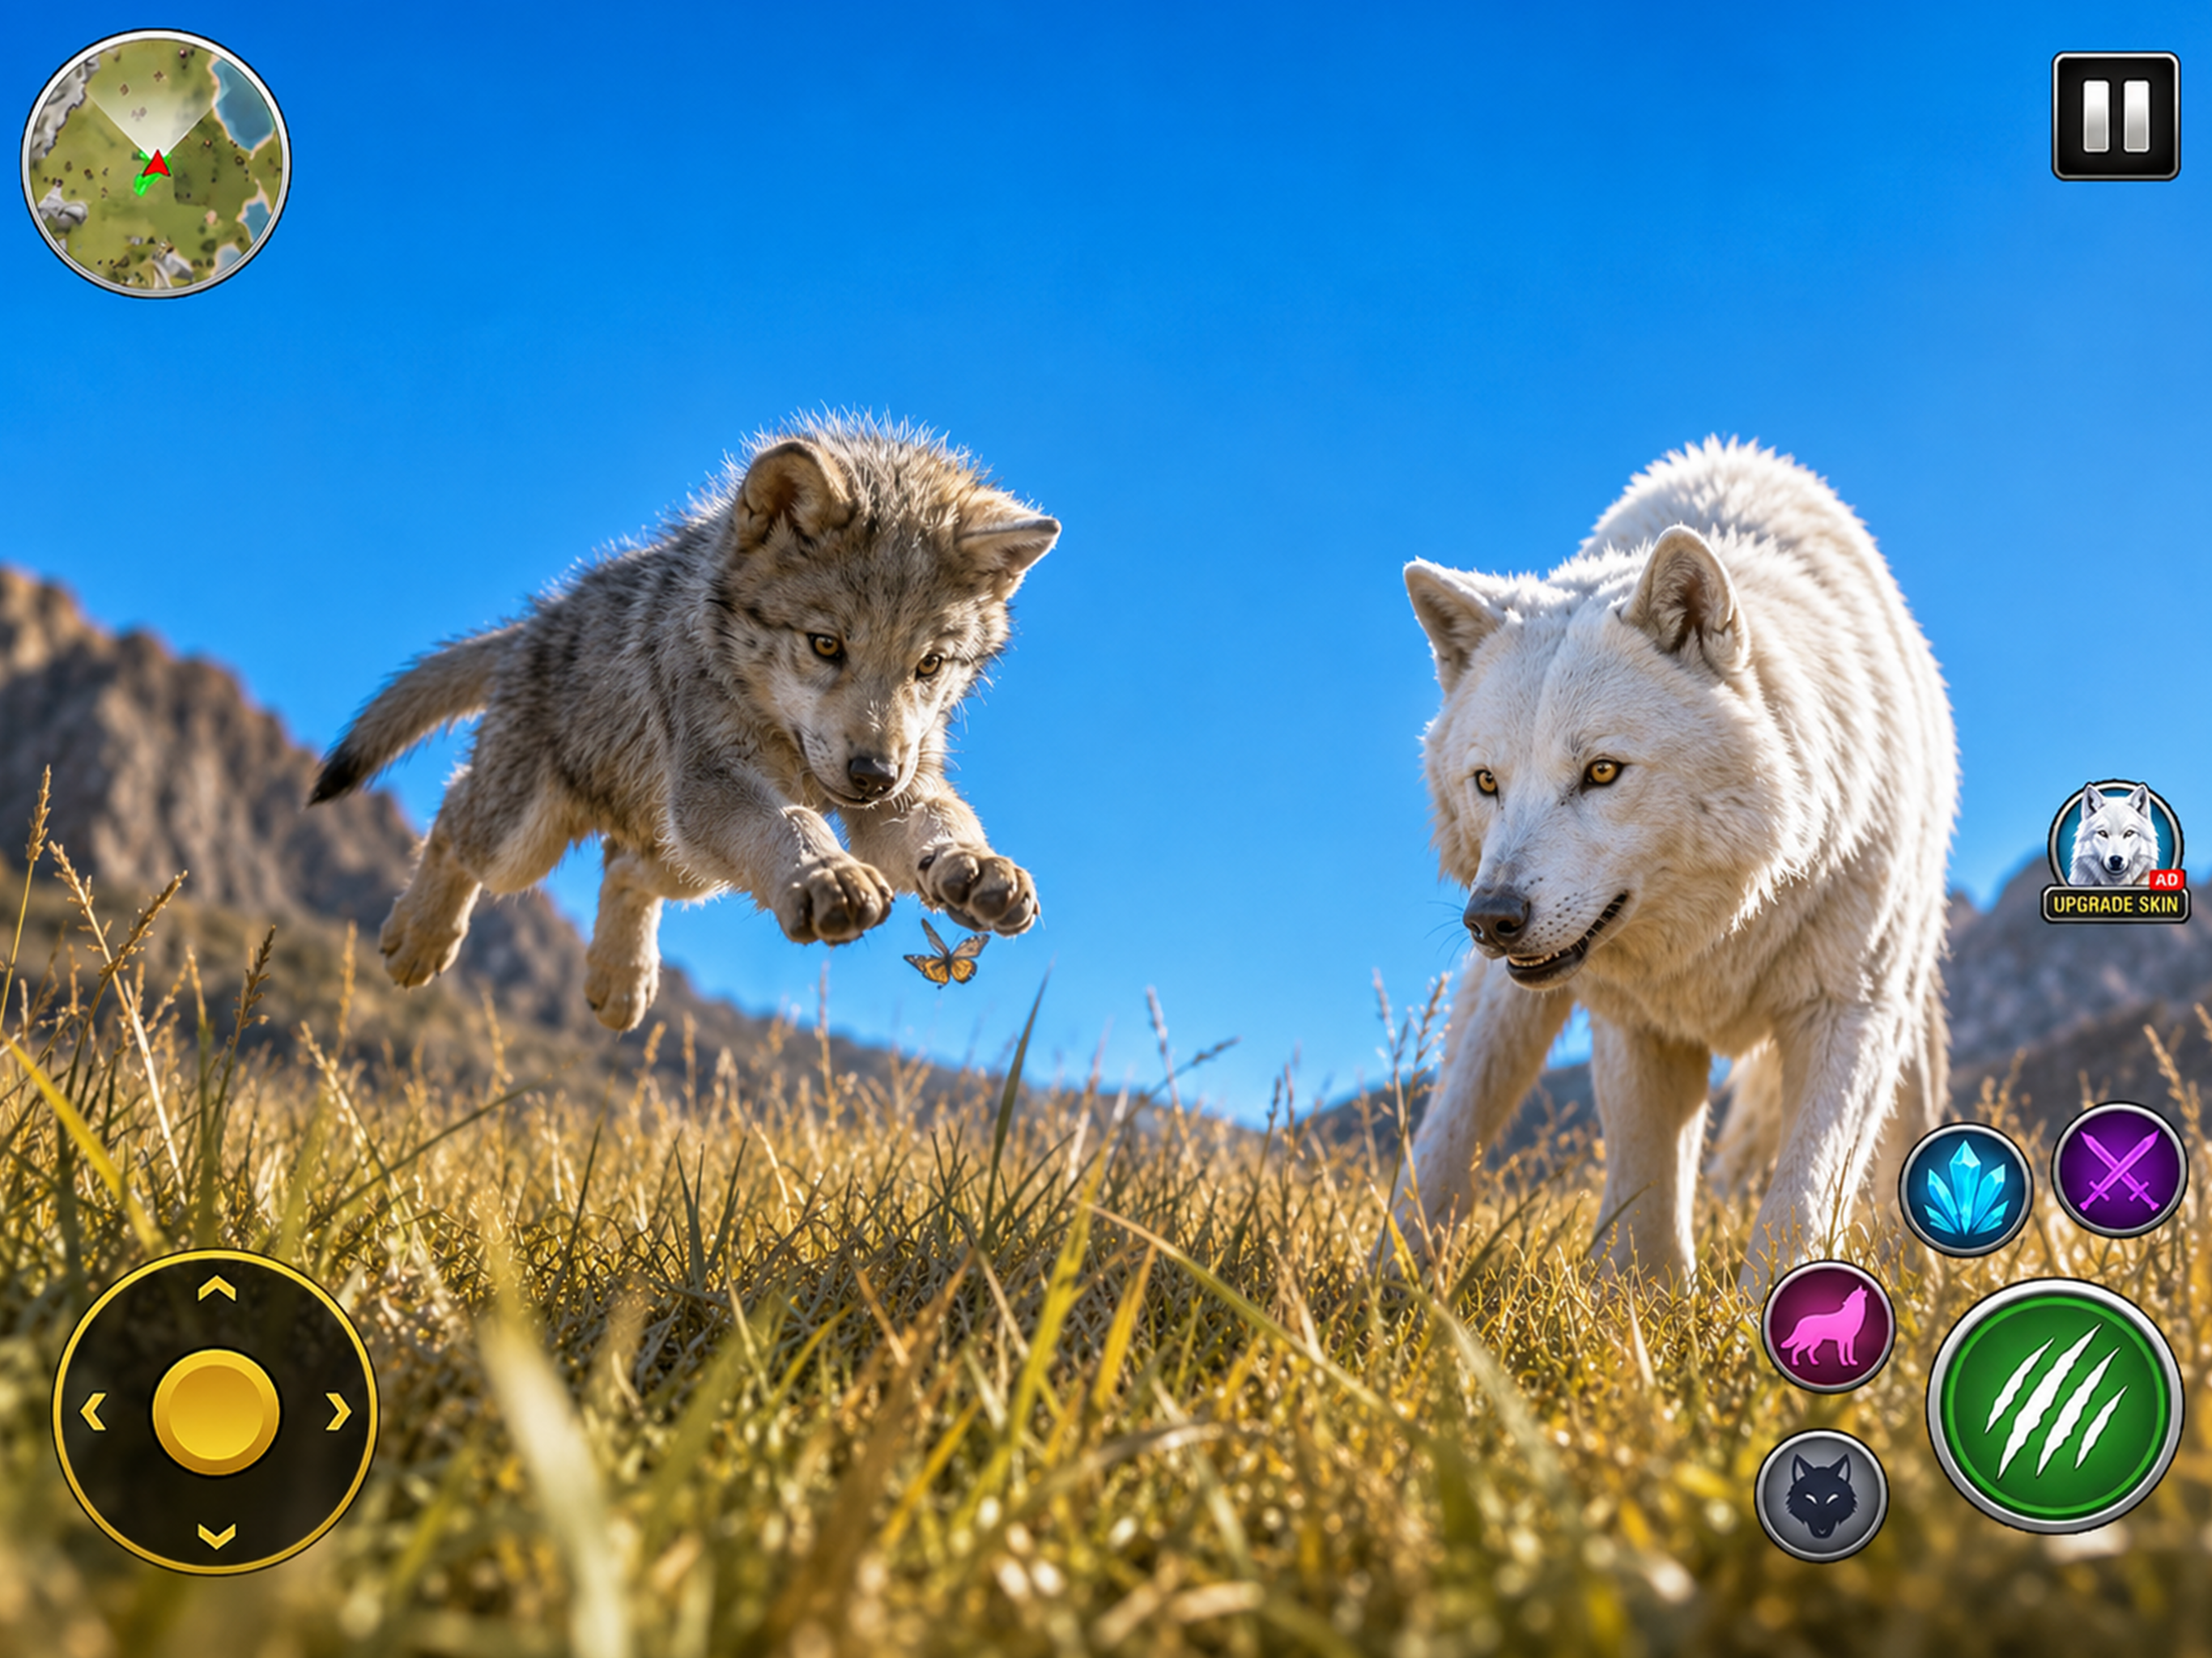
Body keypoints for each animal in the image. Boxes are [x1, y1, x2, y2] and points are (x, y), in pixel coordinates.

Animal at [310, 417, 1058, 1031]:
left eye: (929, 665)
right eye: (825, 645)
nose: (872, 775)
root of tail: (536, 622)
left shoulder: (898, 790)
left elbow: (944, 823)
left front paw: (976, 867)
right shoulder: (719, 780)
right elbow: (793, 825)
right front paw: (828, 875)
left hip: (685, 858)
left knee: (623, 870)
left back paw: (619, 982)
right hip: (529, 847)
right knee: (452, 818)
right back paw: (419, 938)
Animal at [1390, 439, 1956, 1292]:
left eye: (1601, 772)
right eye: (1487, 782)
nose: (1490, 919)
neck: (1723, 930)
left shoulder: (1847, 1010)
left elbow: (1801, 1193)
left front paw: (1773, 1321)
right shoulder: (1638, 1021)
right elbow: (1645, 1197)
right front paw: (1641, 1307)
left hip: (1906, 998)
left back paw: (1919, 1278)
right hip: (1504, 1013)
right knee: (1453, 1124)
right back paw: (1388, 1282)